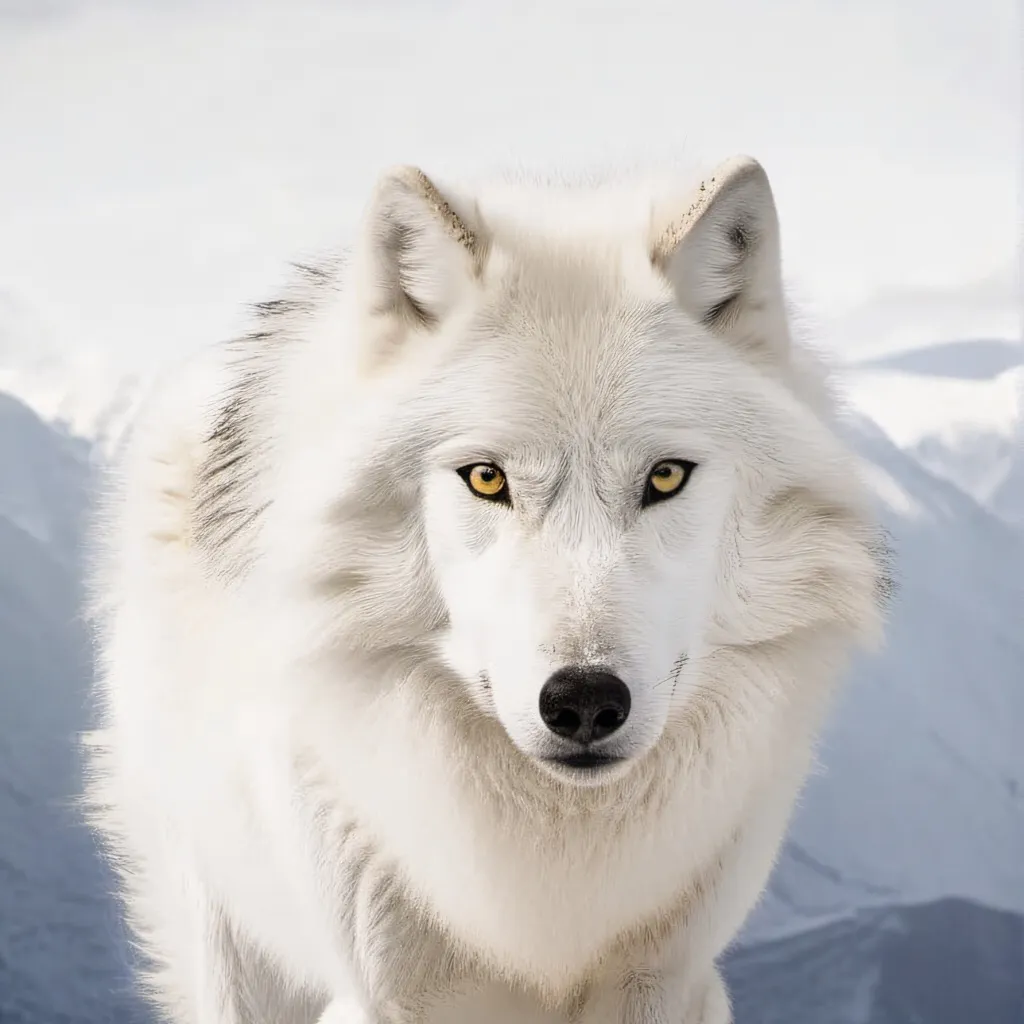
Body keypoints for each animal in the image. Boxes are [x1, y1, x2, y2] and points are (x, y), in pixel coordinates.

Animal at [83, 155, 887, 1024]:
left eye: (667, 477)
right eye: (487, 478)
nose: (584, 701)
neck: (546, 873)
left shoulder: (665, 979)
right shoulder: (389, 992)